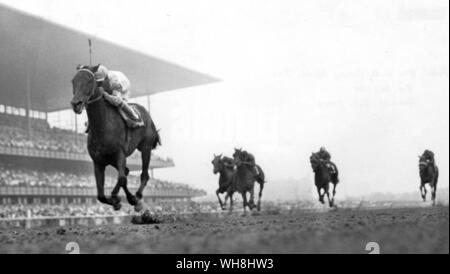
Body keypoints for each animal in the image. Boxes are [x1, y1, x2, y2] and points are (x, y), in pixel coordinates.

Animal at [71, 65, 161, 211]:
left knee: (144, 175)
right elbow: (101, 195)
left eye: (89, 80)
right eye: (73, 81)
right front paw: (116, 201)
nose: (76, 104)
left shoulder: (120, 154)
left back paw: (137, 197)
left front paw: (122, 198)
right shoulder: (98, 162)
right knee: (127, 171)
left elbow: (122, 179)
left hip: (146, 148)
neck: (103, 127)